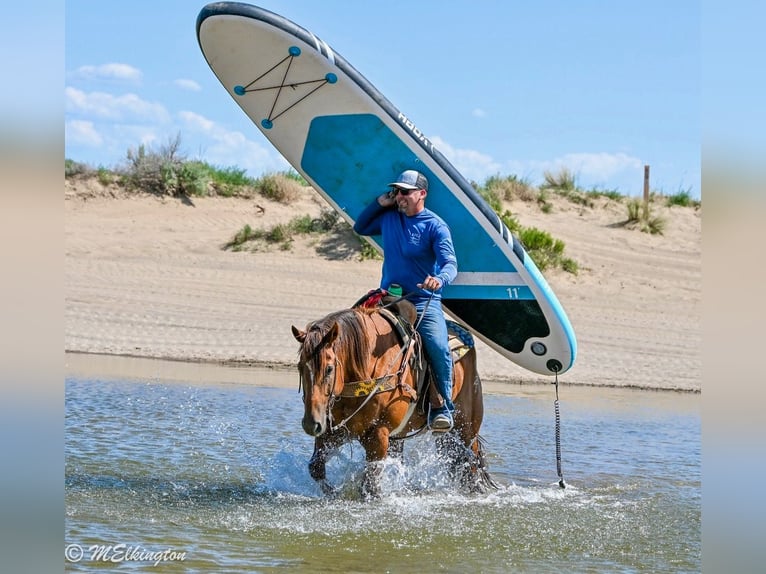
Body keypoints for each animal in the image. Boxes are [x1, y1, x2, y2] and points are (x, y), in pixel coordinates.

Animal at [291, 296, 495, 497]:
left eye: (329, 368)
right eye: (300, 367)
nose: (311, 423)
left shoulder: (378, 434)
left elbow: (370, 487)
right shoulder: (335, 432)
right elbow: (316, 468)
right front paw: (335, 493)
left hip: (465, 428)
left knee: (471, 466)